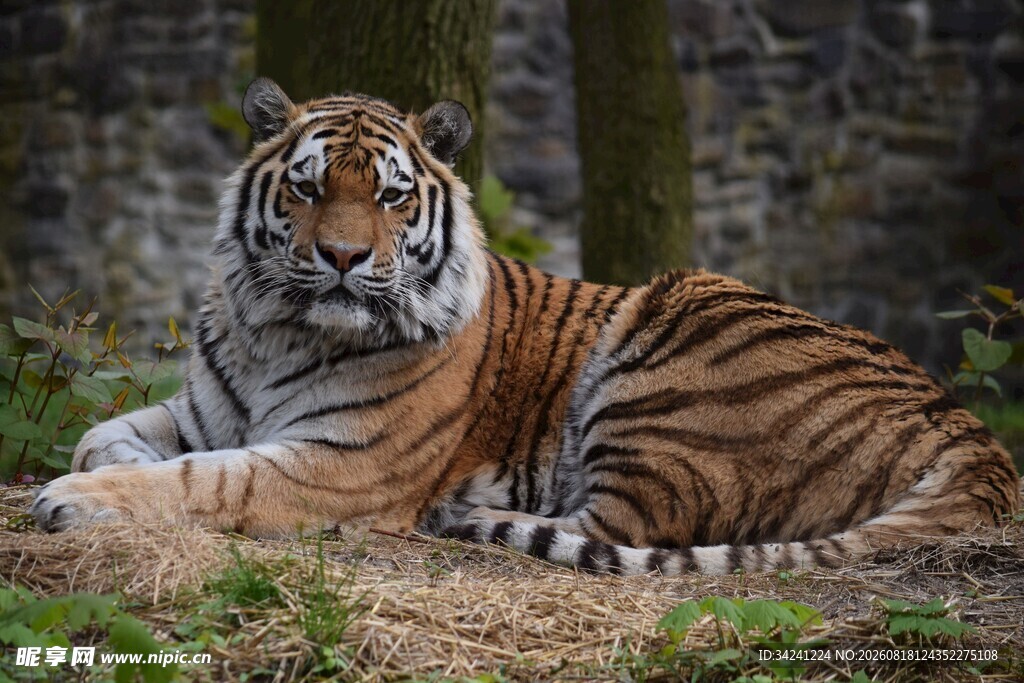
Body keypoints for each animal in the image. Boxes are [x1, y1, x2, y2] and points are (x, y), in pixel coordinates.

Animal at [30, 78, 1020, 575]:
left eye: (390, 197)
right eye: (308, 188)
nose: (343, 257)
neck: (284, 328)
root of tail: (971, 432)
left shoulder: (341, 464)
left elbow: (207, 479)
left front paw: (72, 502)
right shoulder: (205, 410)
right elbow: (102, 435)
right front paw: (97, 469)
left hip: (674, 342)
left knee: (627, 527)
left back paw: (469, 514)